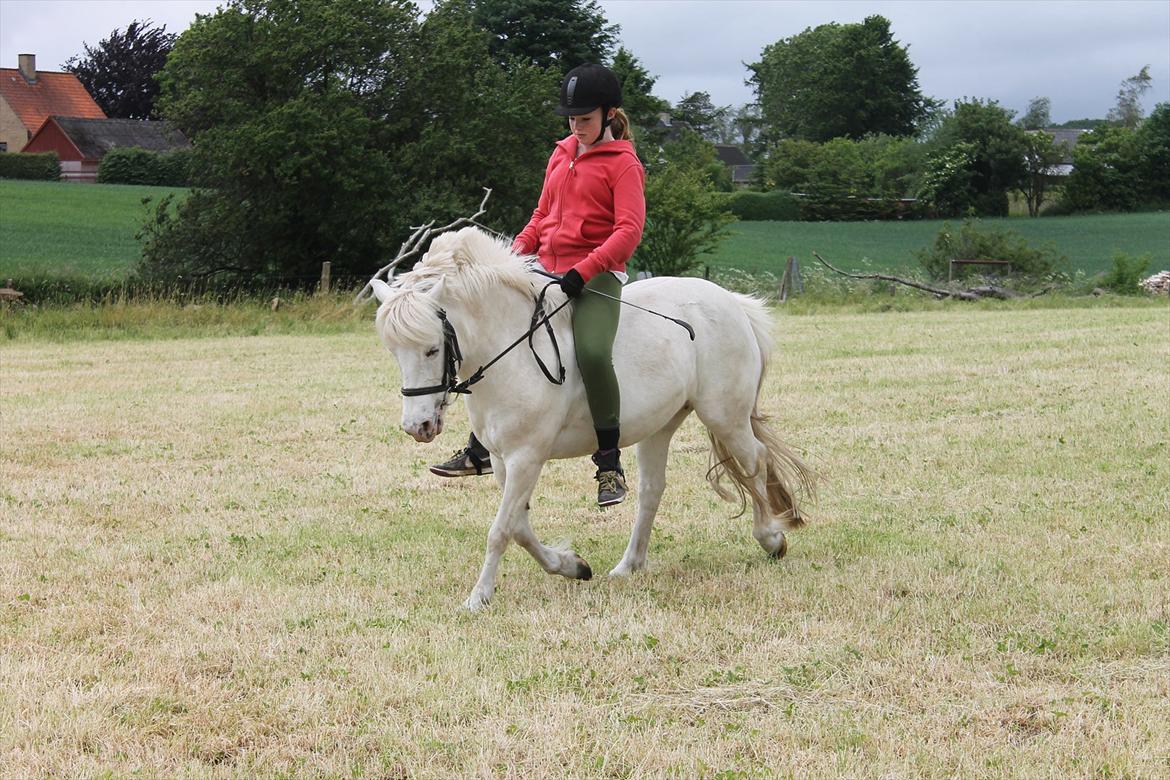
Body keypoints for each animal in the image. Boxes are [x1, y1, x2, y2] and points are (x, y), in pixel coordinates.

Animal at [374, 225, 814, 608]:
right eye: (393, 350)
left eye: (432, 349)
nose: (417, 427)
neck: (509, 350)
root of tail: (733, 302)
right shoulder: (503, 460)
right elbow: (519, 526)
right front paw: (572, 566)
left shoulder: (526, 457)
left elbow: (501, 530)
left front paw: (478, 598)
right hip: (660, 425)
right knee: (653, 490)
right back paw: (628, 565)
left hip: (725, 415)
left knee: (755, 462)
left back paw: (771, 539)